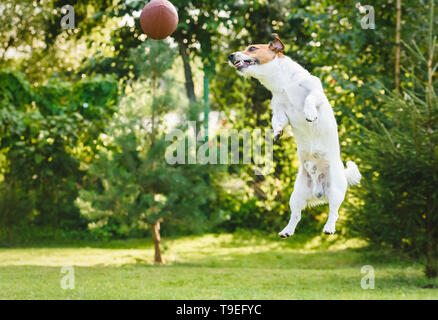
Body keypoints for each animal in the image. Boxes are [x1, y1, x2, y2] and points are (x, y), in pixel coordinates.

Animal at [228, 33, 362, 236]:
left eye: (252, 48)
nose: (230, 55)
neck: (284, 85)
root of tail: (319, 192)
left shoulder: (316, 93)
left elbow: (309, 100)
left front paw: (309, 113)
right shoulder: (279, 110)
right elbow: (277, 121)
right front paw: (277, 132)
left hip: (336, 190)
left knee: (334, 212)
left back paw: (329, 227)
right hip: (296, 195)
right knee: (296, 215)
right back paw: (287, 231)